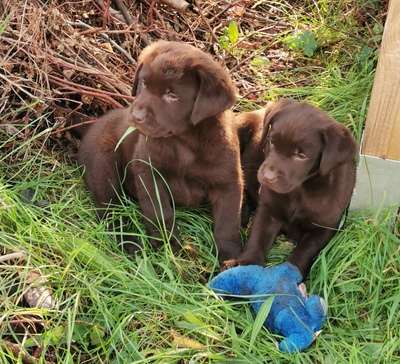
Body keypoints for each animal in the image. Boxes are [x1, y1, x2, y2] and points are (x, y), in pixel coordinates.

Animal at [76, 41, 242, 260]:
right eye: (144, 83)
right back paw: (130, 243)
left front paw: (230, 257)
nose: (136, 116)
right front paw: (167, 244)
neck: (184, 142)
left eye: (172, 95)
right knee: (109, 210)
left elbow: (228, 223)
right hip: (102, 165)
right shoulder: (148, 171)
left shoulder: (229, 182)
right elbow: (160, 212)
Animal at [225, 99, 360, 278]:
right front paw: (246, 266)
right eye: (271, 141)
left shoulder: (325, 228)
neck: (299, 191)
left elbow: (304, 252)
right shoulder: (268, 210)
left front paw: (287, 277)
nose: (267, 177)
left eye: (301, 155)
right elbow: (257, 238)